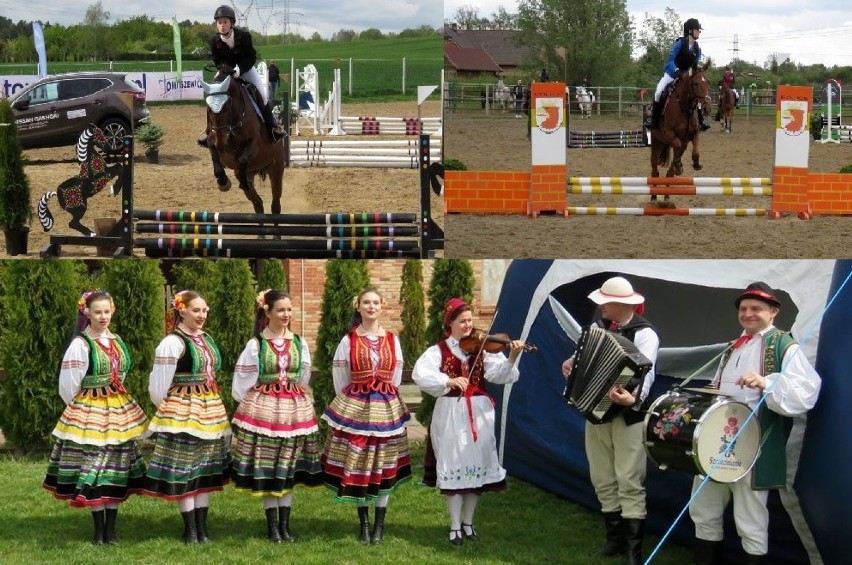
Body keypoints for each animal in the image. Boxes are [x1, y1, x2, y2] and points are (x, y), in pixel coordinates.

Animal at [199, 66, 282, 215]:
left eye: (226, 107)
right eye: (209, 109)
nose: (220, 143)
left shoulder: (254, 143)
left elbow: (243, 158)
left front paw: (239, 182)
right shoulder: (215, 138)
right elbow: (211, 146)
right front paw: (222, 181)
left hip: (276, 168)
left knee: (276, 203)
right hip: (247, 172)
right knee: (257, 202)